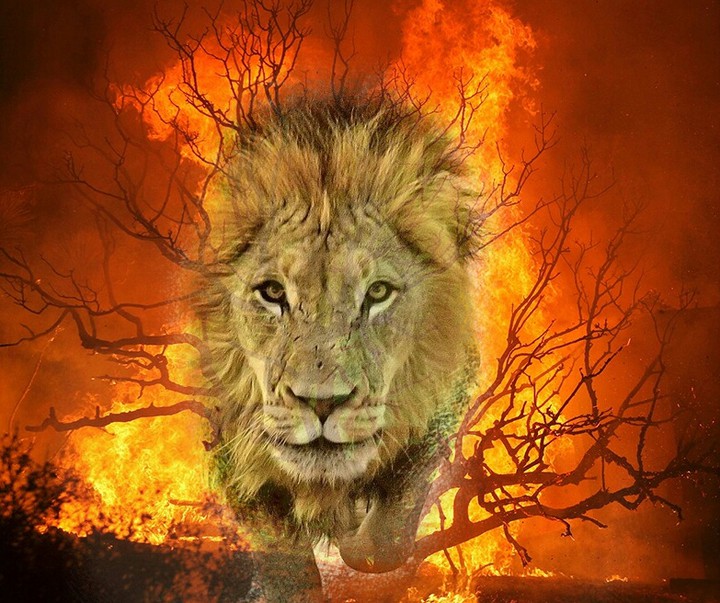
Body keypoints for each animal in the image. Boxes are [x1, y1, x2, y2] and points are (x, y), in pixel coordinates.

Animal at [201, 99, 479, 600]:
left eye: (378, 292)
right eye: (273, 293)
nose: (321, 403)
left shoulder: (450, 392)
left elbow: (385, 536)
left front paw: (352, 527)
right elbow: (285, 564)